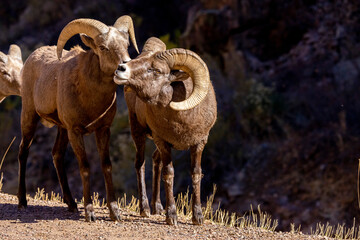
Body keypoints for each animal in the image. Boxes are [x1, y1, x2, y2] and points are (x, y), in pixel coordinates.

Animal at [17, 15, 139, 221]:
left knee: (57, 155)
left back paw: (72, 204)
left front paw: (114, 213)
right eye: (103, 47)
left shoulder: (103, 130)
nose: (125, 67)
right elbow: (85, 167)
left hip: (61, 129)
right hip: (30, 117)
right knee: (23, 152)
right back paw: (22, 202)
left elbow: (106, 166)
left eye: (127, 44)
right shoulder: (75, 132)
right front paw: (89, 212)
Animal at [114, 37, 218, 225]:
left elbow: (196, 173)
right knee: (140, 164)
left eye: (155, 70)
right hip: (138, 132)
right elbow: (169, 174)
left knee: (156, 161)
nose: (121, 68)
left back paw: (157, 207)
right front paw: (172, 217)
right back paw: (145, 209)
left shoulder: (199, 143)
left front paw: (197, 217)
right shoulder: (162, 142)